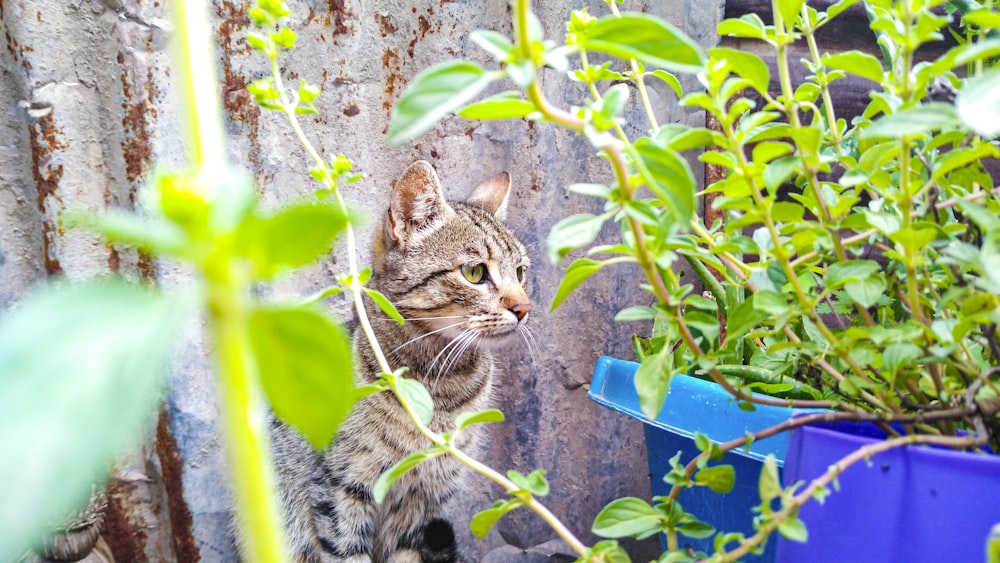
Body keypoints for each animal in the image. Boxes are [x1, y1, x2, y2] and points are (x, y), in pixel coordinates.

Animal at [266, 161, 532, 560]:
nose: (524, 308)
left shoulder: (422, 500)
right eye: (474, 272)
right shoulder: (340, 486)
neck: (439, 385)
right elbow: (347, 551)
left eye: (520, 272)